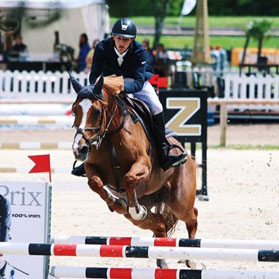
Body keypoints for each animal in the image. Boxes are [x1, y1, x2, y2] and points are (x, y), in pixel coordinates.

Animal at [69, 74, 199, 270]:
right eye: (74, 110)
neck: (110, 136)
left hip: (179, 202)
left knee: (192, 217)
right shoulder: (91, 167)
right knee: (160, 225)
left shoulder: (143, 165)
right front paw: (115, 202)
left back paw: (191, 259)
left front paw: (133, 207)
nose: (80, 149)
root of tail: (187, 155)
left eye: (97, 112)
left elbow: (129, 178)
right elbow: (95, 182)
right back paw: (162, 260)